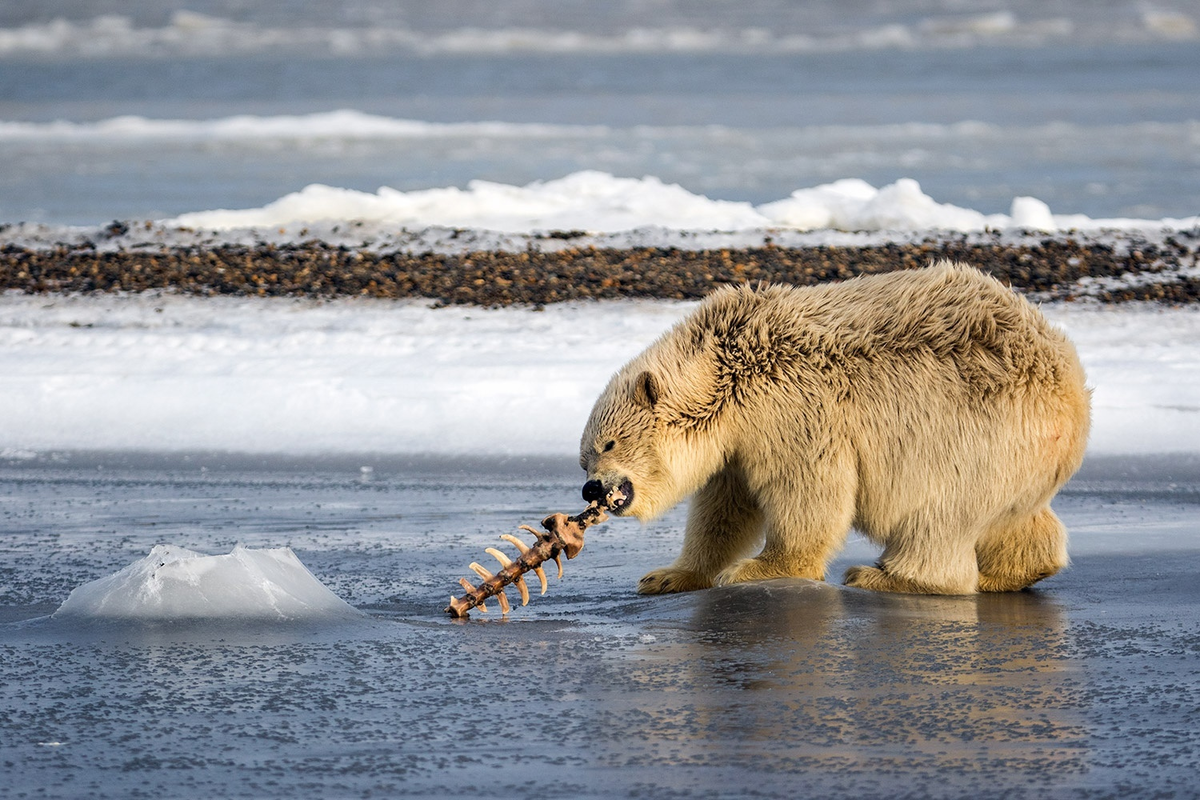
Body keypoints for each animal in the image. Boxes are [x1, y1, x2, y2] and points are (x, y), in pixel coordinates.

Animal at [576, 262, 1094, 594]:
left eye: (609, 442)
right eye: (584, 458)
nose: (591, 489)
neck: (728, 365)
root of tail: (1072, 391)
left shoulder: (790, 404)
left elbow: (807, 488)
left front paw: (761, 570)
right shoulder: (739, 440)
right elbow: (724, 508)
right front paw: (666, 576)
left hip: (975, 433)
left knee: (939, 513)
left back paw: (886, 576)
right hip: (1020, 456)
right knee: (1013, 514)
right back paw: (1010, 573)